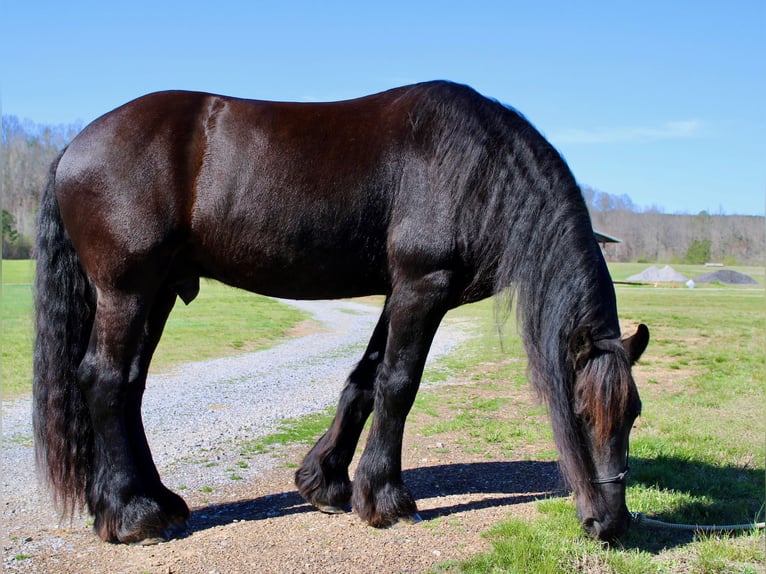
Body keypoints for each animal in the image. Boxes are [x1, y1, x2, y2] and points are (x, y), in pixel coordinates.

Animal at [34, 81, 648, 544]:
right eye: (580, 411)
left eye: (634, 414)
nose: (611, 524)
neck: (479, 166)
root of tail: (72, 148)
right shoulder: (423, 286)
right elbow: (399, 384)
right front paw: (387, 499)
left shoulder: (401, 292)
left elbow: (365, 381)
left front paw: (326, 483)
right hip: (127, 291)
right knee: (105, 380)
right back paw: (134, 515)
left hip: (157, 292)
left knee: (130, 386)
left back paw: (151, 501)